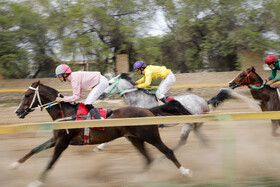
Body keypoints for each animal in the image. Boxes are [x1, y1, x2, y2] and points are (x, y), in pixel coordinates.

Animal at [13, 81, 192, 186]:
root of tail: (148, 110)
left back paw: (186, 172)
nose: (17, 112)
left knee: (168, 152)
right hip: (135, 139)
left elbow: (50, 163)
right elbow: (34, 149)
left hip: (150, 136)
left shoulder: (62, 143)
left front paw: (36, 182)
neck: (66, 113)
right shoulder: (55, 139)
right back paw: (137, 179)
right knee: (148, 159)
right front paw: (14, 165)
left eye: (27, 95)